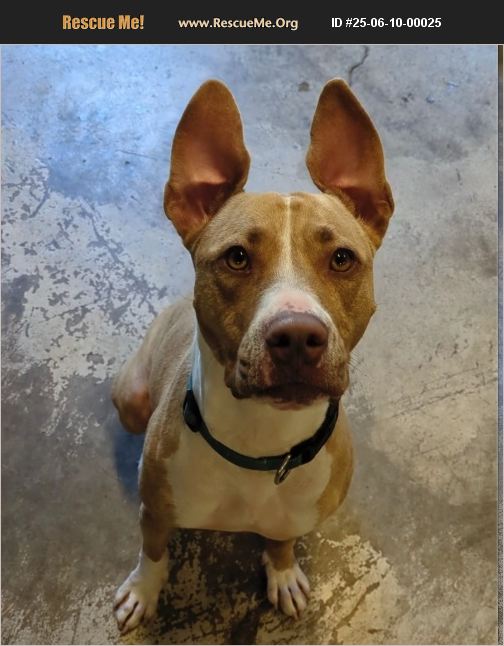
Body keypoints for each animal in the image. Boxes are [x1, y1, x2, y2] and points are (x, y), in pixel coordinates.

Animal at [111, 78, 394, 634]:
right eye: (237, 257)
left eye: (342, 258)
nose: (298, 336)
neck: (262, 447)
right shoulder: (155, 514)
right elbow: (153, 553)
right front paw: (142, 591)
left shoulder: (293, 517)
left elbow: (281, 541)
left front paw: (282, 573)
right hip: (130, 398)